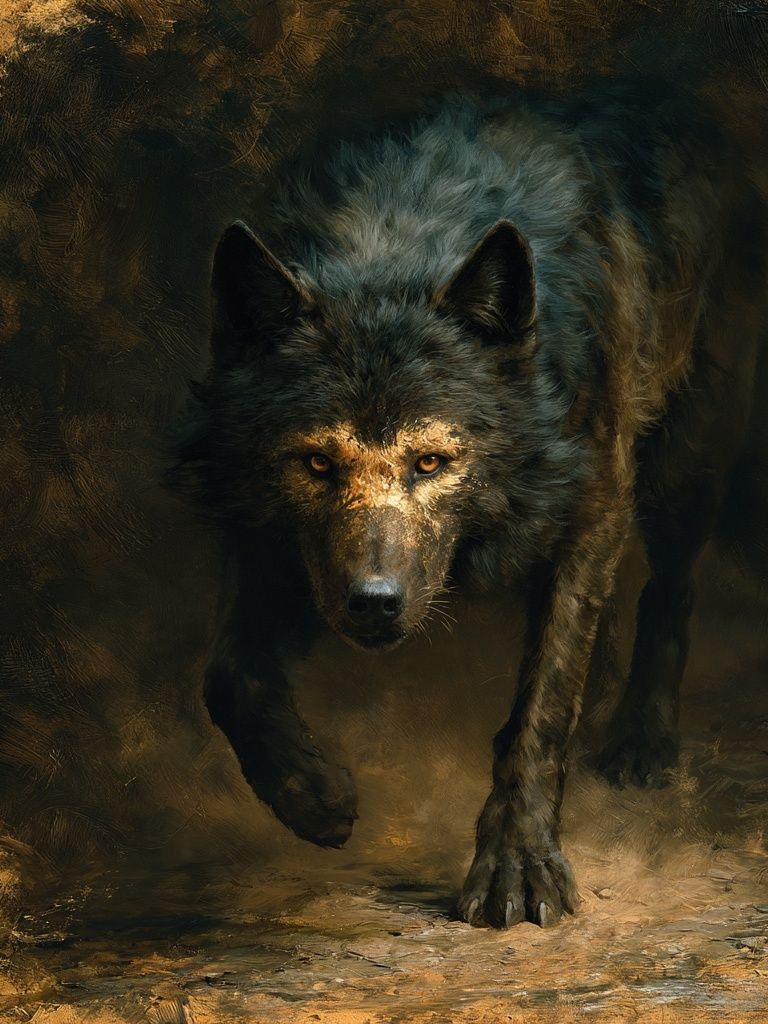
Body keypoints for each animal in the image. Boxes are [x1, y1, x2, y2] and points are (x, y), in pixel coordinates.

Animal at [169, 77, 767, 929]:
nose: (374, 603)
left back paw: (640, 744)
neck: (399, 238)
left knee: (669, 590)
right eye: (316, 462)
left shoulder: (588, 504)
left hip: (687, 464)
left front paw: (519, 864)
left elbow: (540, 708)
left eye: (431, 461)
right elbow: (227, 677)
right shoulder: (275, 539)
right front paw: (314, 797)